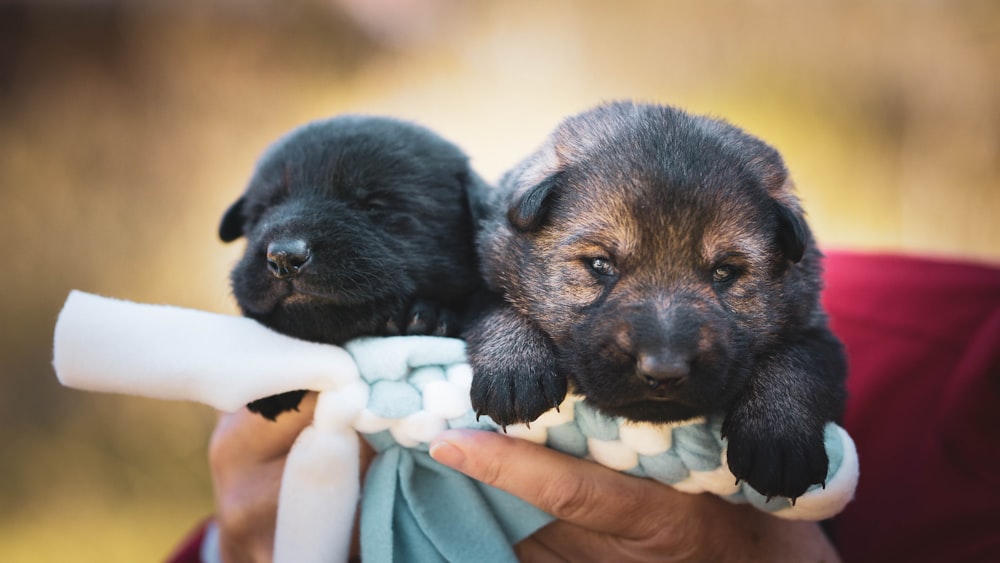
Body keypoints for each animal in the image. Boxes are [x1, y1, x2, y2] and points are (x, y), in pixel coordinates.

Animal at [464, 100, 848, 498]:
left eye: (724, 272)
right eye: (600, 264)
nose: (664, 372)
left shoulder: (815, 329)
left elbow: (797, 362)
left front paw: (778, 437)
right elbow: (499, 307)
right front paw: (515, 367)